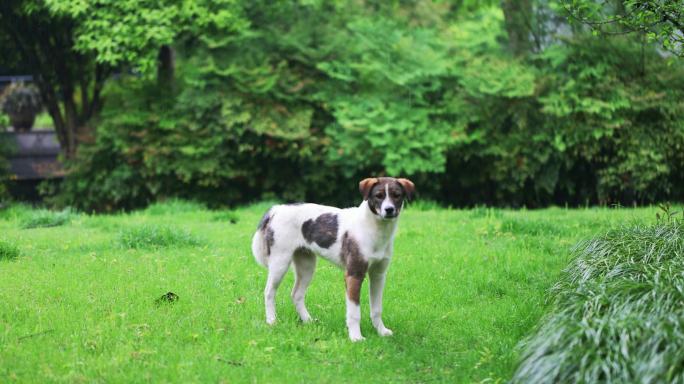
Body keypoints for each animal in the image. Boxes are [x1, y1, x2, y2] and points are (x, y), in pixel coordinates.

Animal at [250, 177, 414, 342]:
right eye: (378, 196)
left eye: (397, 195)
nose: (389, 210)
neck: (373, 229)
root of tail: (276, 209)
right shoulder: (354, 275)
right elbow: (354, 313)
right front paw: (356, 337)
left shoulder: (378, 276)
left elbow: (376, 309)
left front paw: (381, 331)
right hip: (280, 263)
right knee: (269, 292)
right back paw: (272, 321)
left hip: (307, 267)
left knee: (296, 294)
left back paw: (308, 321)